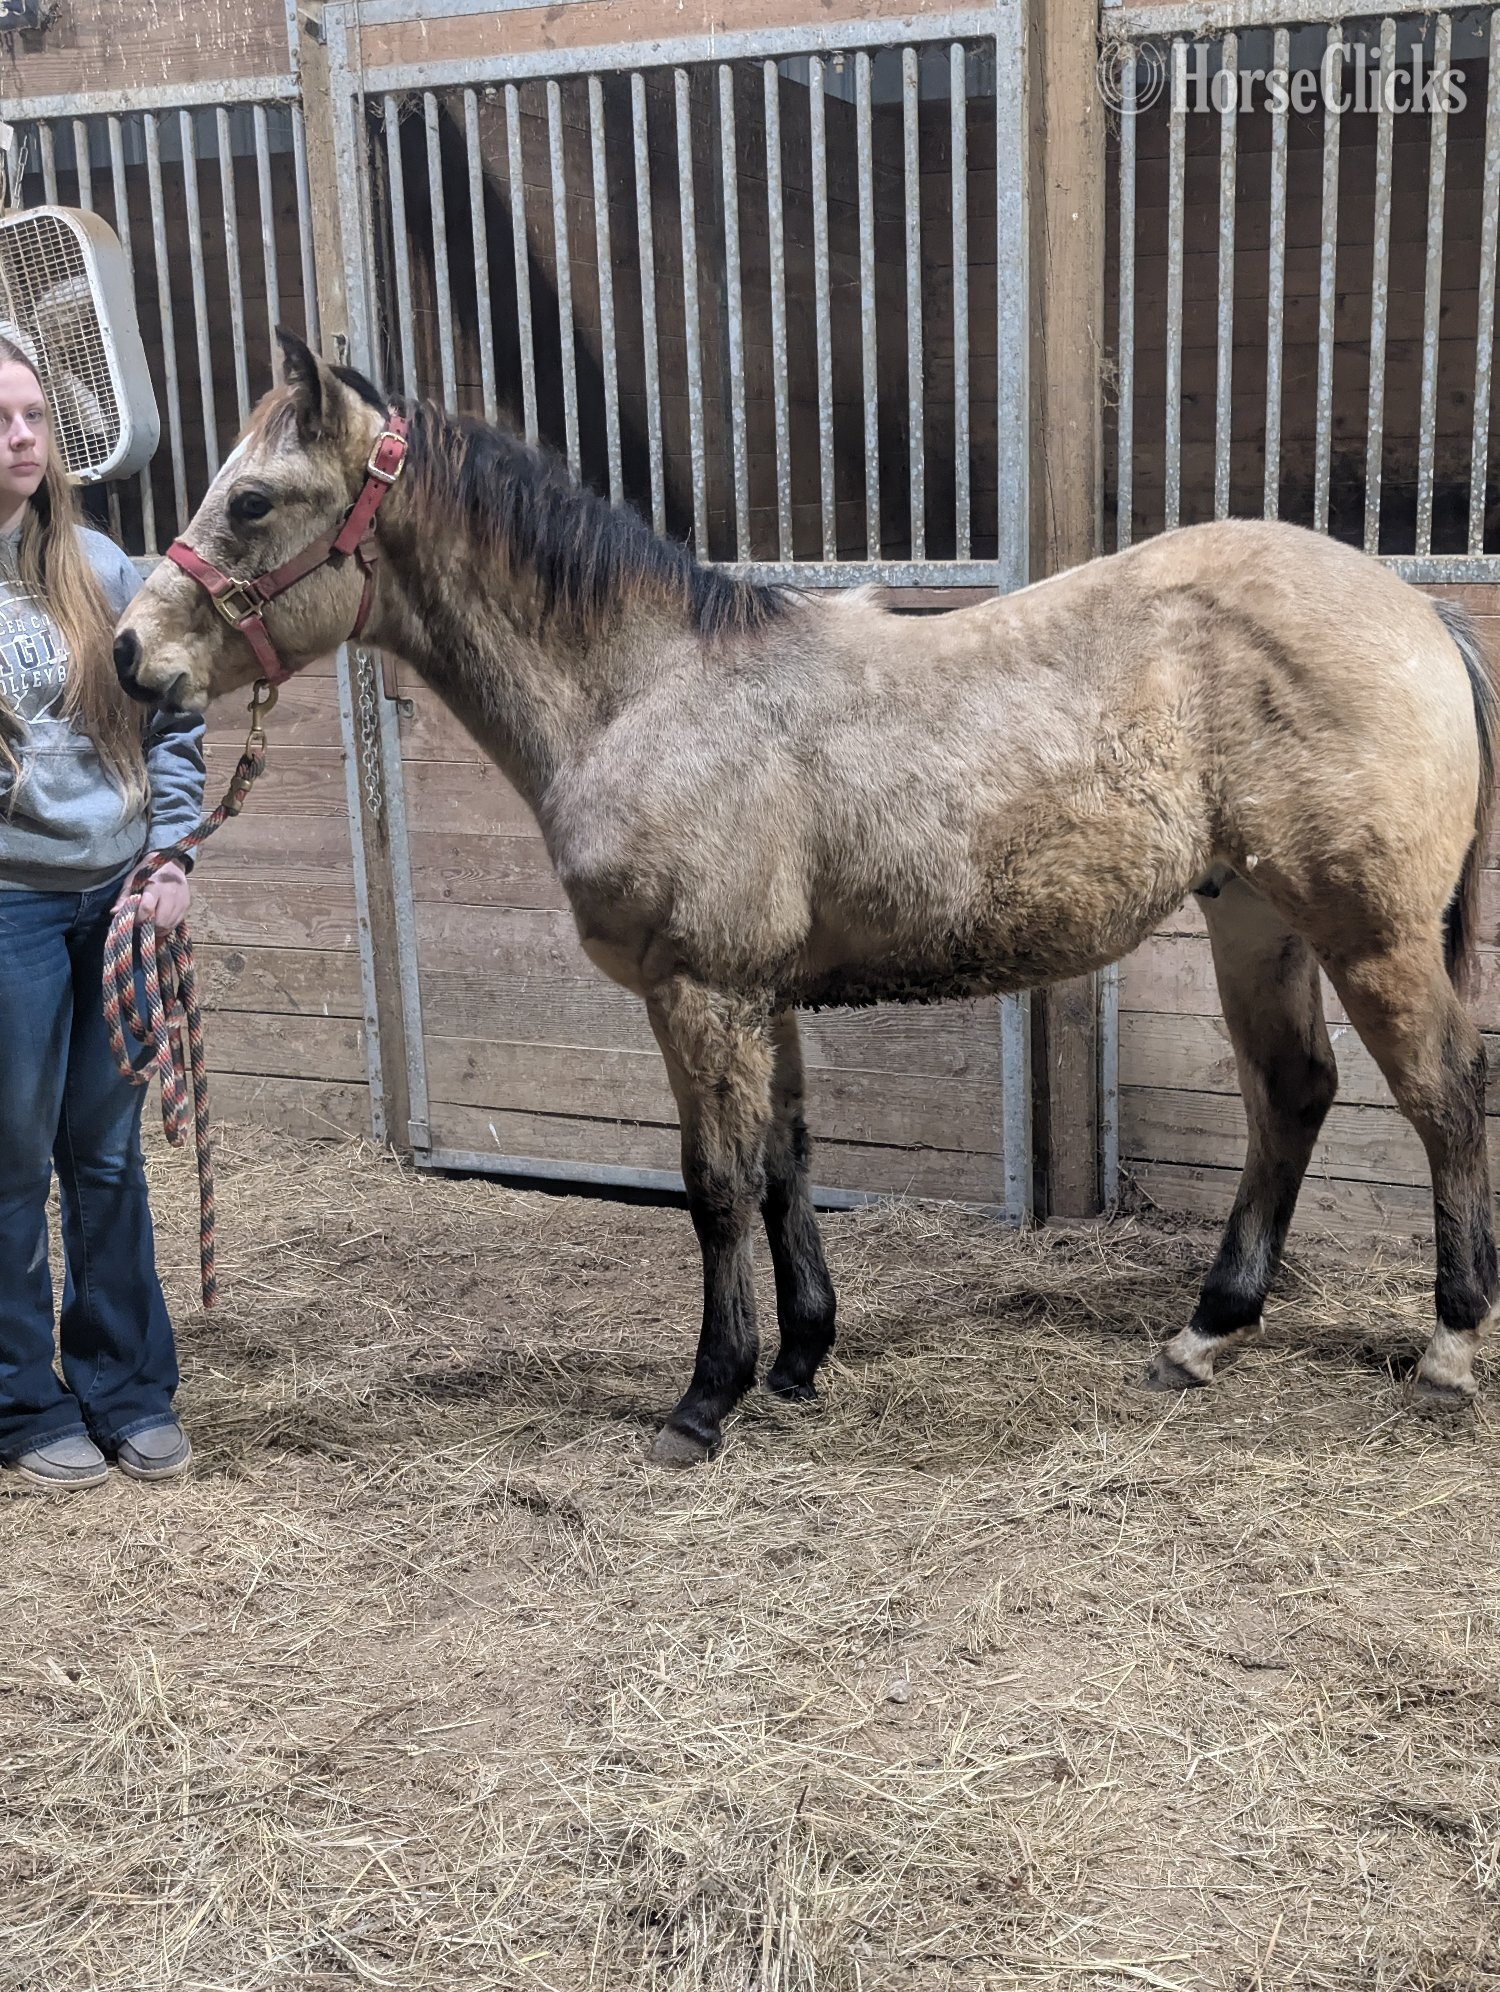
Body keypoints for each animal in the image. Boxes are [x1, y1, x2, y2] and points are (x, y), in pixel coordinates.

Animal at [114, 332, 1500, 1464]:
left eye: (251, 499)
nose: (133, 658)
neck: (647, 690)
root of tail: (1420, 611)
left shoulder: (698, 991)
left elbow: (716, 1185)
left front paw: (704, 1399)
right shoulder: (759, 996)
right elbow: (786, 1162)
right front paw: (798, 1360)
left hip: (1366, 929)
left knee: (1442, 1096)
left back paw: (1447, 1350)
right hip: (1254, 917)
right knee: (1293, 1094)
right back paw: (1204, 1335)